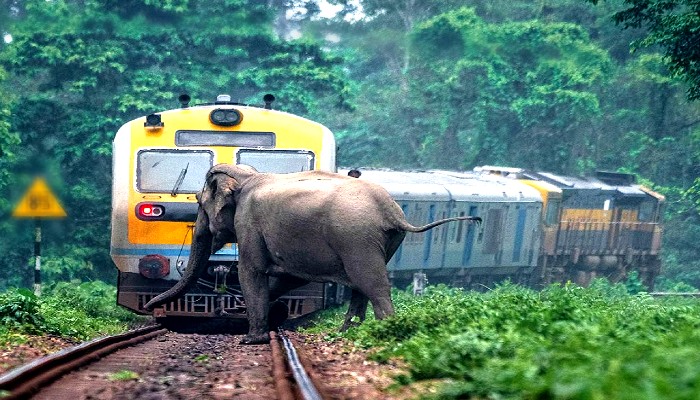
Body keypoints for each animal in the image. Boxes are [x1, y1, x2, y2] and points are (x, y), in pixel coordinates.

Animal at [145, 164, 478, 346]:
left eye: (199, 203)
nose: (150, 307)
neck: (247, 174)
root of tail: (392, 211)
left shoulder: (249, 221)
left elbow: (252, 271)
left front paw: (250, 339)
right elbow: (287, 278)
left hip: (356, 236)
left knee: (372, 284)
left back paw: (384, 332)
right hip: (386, 240)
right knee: (362, 286)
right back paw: (346, 332)